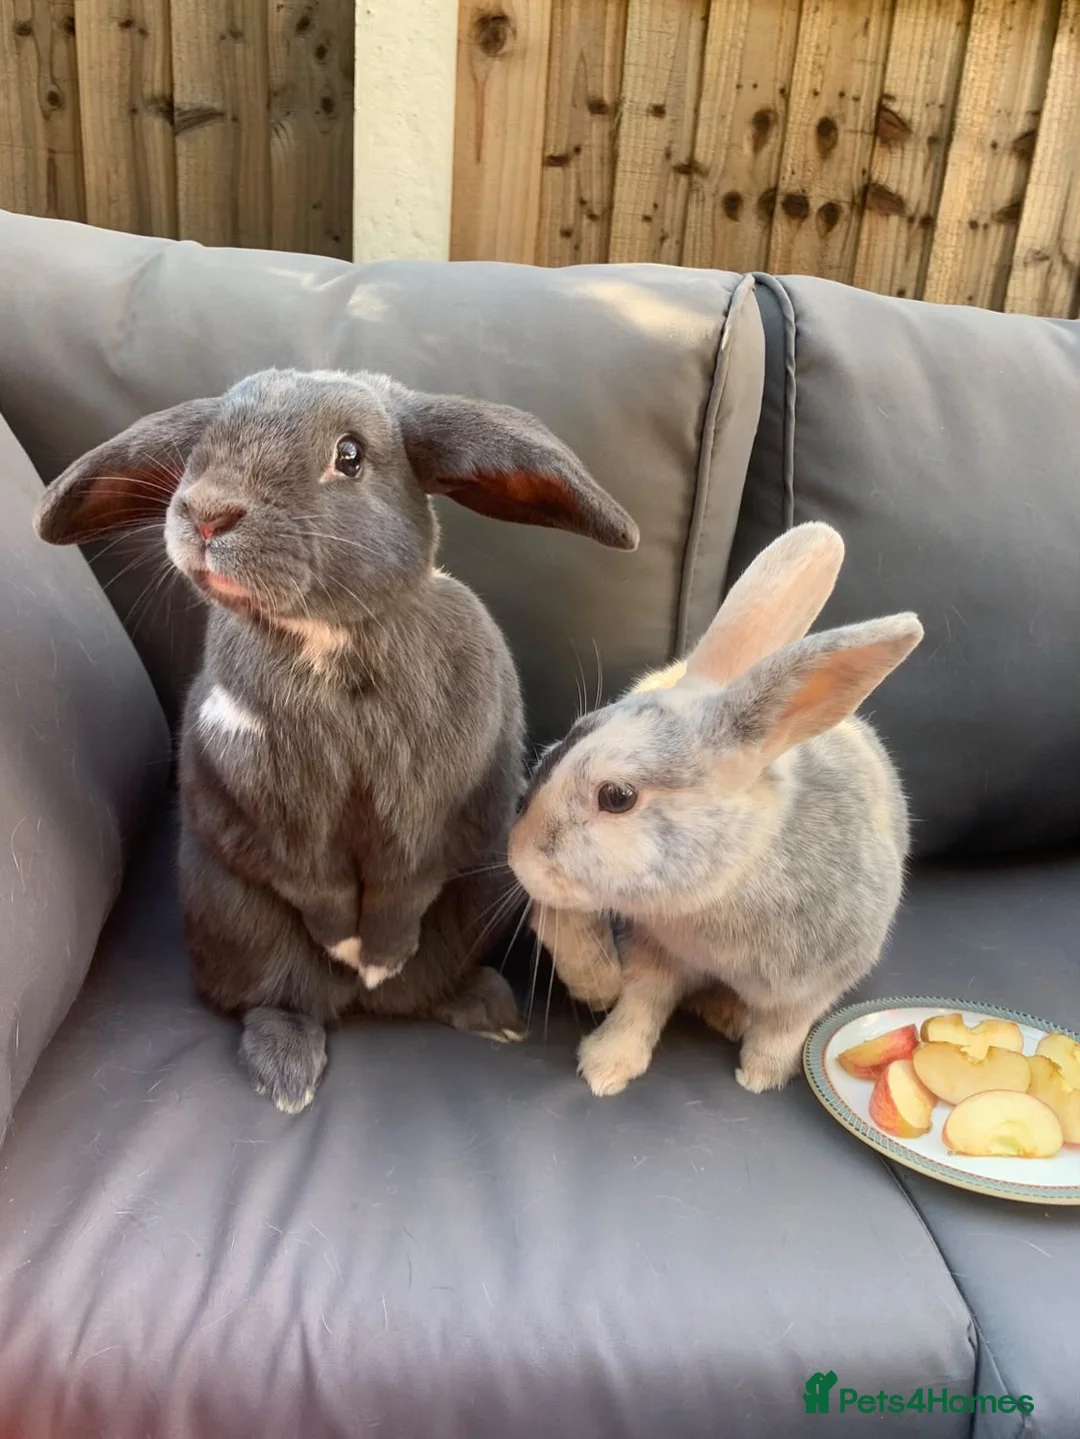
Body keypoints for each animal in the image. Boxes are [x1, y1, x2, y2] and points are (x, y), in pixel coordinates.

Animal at [34, 368, 638, 1113]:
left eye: (349, 455)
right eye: (205, 442)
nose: (206, 513)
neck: (327, 638)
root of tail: (362, 1008)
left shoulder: (429, 814)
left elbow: (404, 885)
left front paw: (379, 956)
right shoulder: (272, 811)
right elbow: (314, 883)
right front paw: (351, 950)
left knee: (426, 987)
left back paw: (486, 1010)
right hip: (235, 925)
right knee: (279, 1001)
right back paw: (288, 1073)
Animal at [508, 522, 924, 1097]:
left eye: (617, 797)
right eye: (571, 734)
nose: (515, 853)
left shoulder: (812, 985)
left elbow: (782, 1031)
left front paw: (760, 1078)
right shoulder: (655, 954)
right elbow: (640, 1005)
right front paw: (606, 1066)